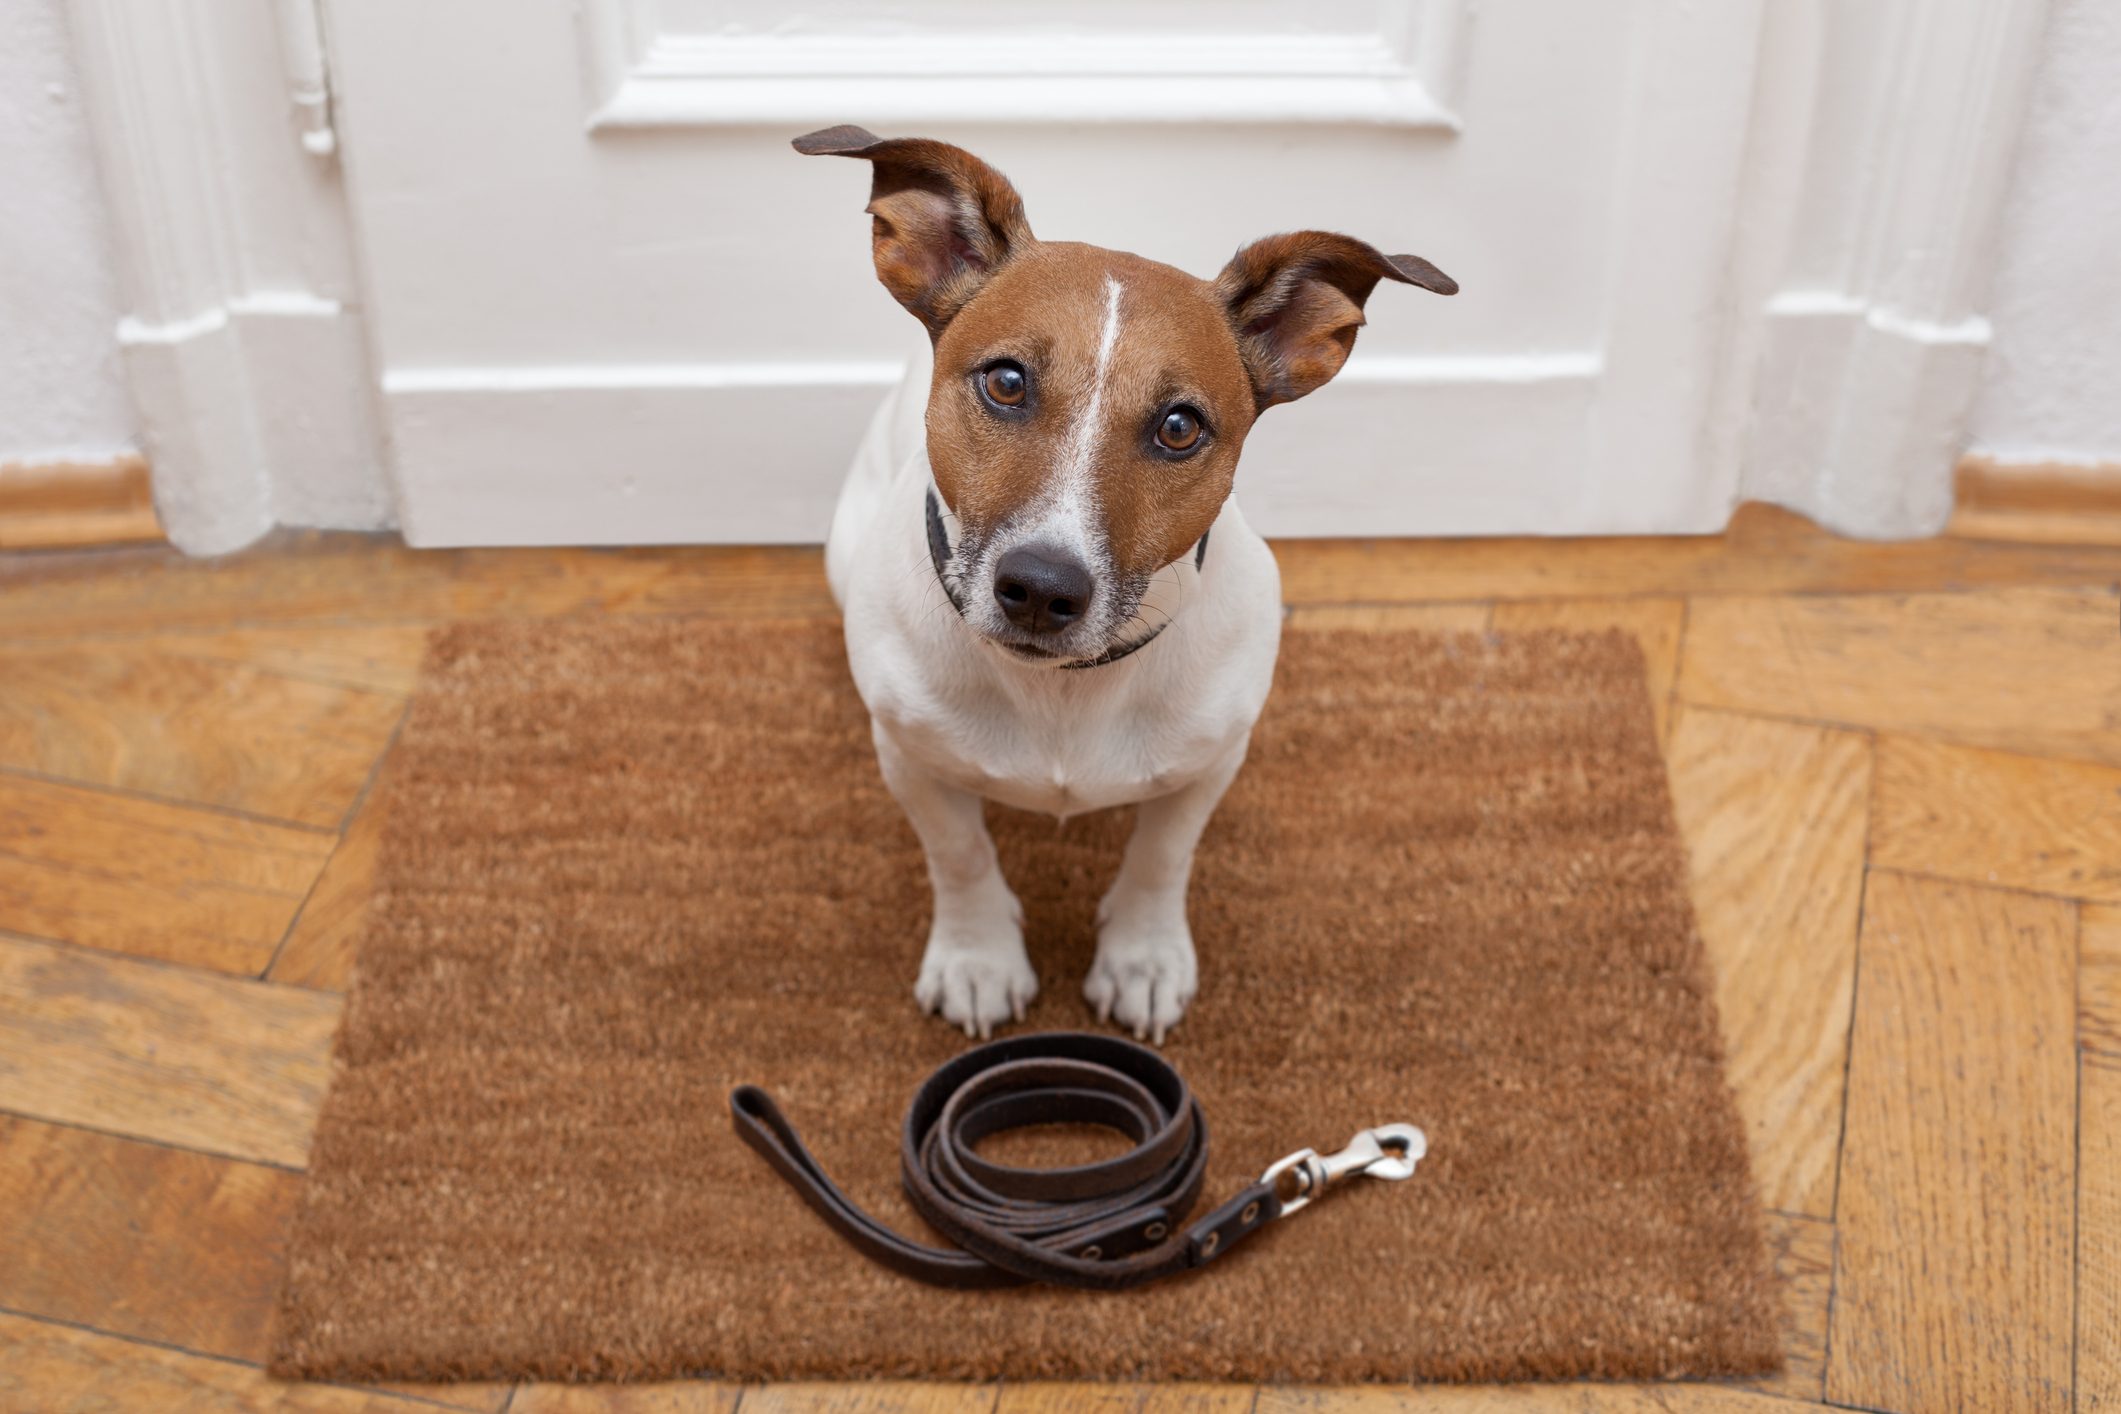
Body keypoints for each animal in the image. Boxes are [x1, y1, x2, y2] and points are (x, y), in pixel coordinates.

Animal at [797, 127, 1459, 1047]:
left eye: (1179, 427)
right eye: (1006, 381)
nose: (1041, 589)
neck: (1062, 692)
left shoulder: (1210, 762)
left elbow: (1161, 856)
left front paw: (1141, 959)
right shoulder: (910, 758)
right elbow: (959, 854)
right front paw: (977, 958)